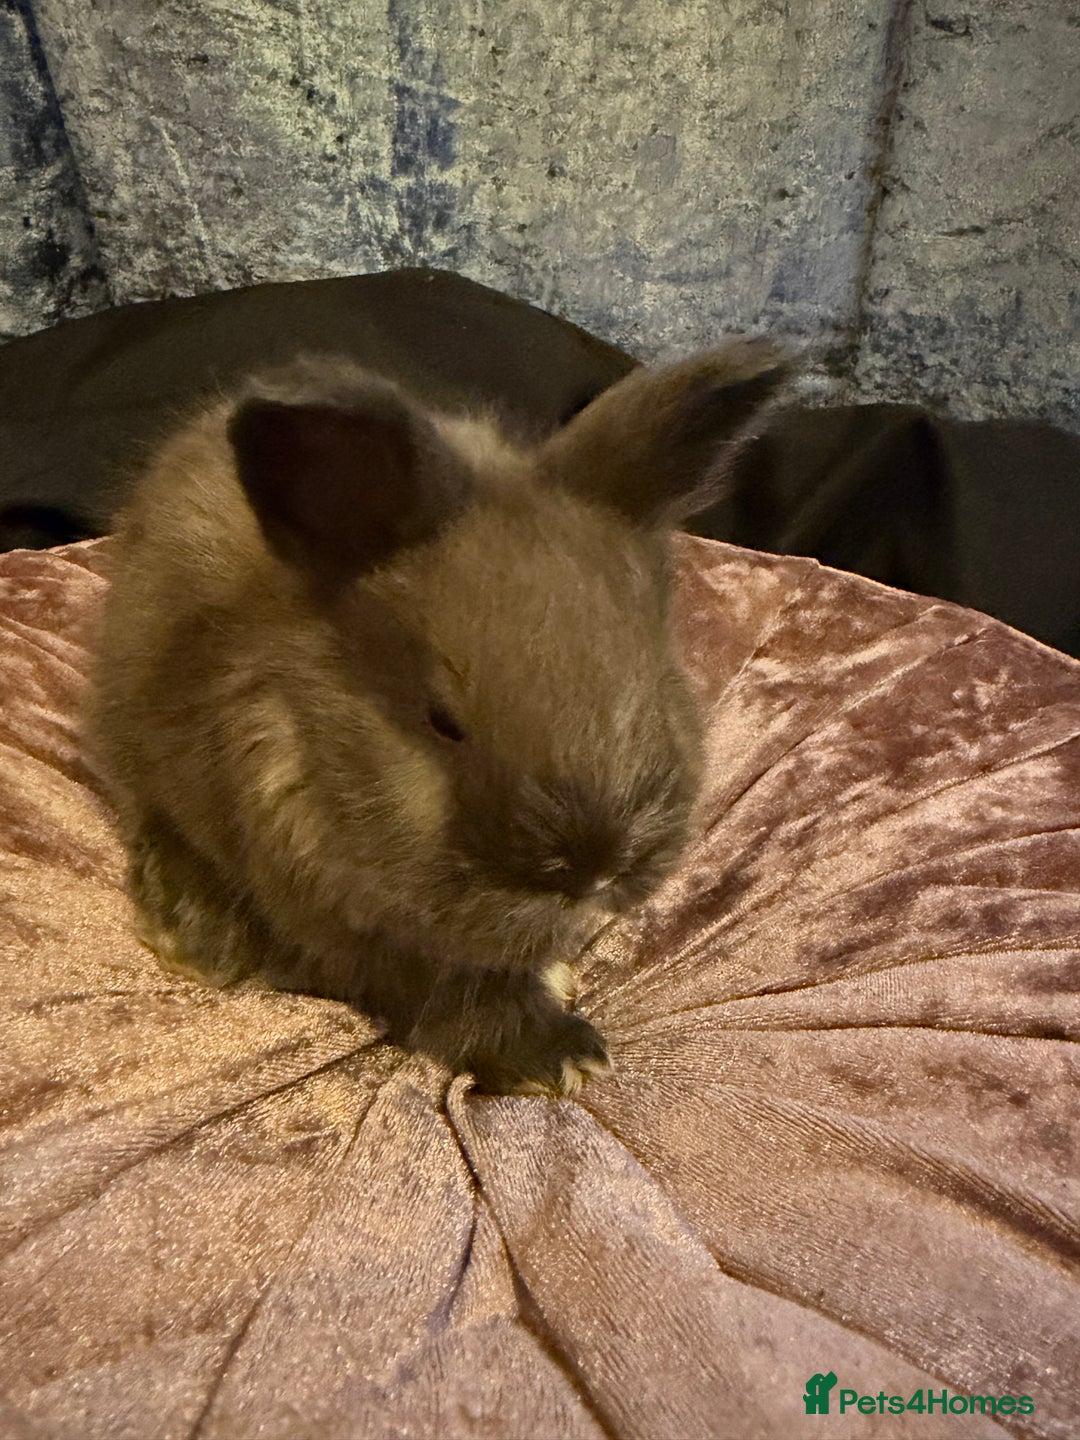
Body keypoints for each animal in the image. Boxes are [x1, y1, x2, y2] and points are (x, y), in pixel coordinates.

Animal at [88, 340, 790, 1094]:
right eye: (442, 722)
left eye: (654, 676)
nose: (591, 866)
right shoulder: (338, 918)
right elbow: (449, 994)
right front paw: (556, 1055)